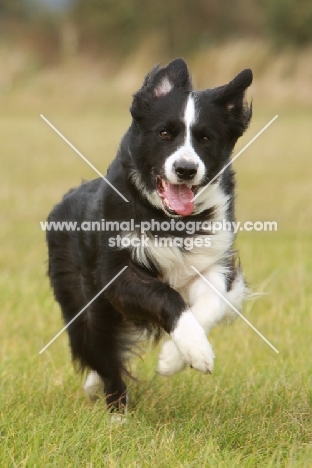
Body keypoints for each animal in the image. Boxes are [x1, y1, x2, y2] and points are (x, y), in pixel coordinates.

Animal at [46, 57, 252, 410]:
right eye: (164, 133)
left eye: (206, 138)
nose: (186, 169)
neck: (169, 219)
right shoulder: (117, 272)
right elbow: (165, 295)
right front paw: (191, 351)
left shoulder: (211, 261)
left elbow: (212, 302)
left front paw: (178, 356)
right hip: (85, 300)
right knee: (102, 353)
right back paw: (117, 410)